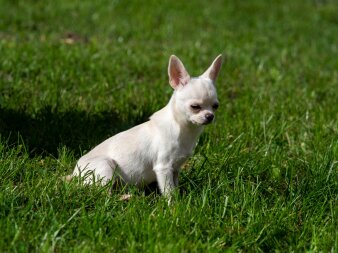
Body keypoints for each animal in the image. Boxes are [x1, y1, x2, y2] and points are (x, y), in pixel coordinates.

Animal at [68, 54, 222, 196]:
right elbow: (169, 191)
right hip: (106, 166)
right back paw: (125, 197)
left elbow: (175, 186)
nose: (210, 116)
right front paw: (173, 205)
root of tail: (75, 174)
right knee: (103, 195)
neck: (183, 128)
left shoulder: (175, 168)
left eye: (215, 106)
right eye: (195, 107)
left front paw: (180, 198)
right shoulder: (163, 167)